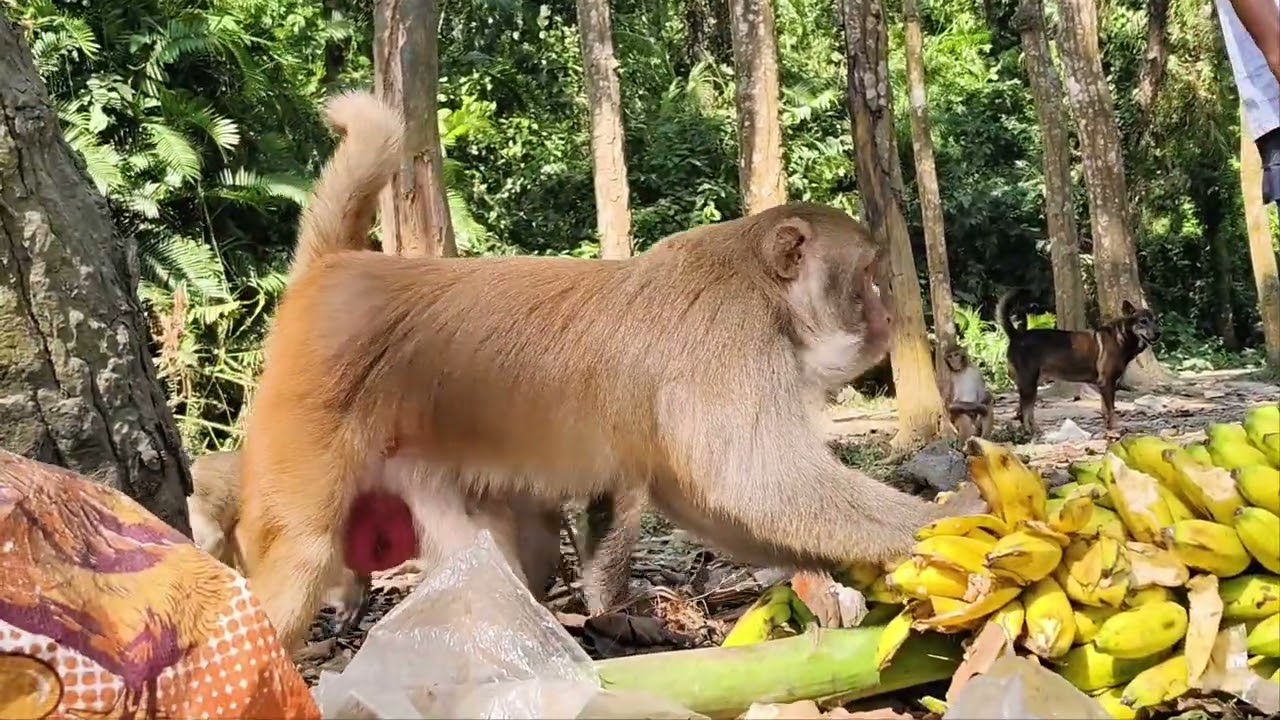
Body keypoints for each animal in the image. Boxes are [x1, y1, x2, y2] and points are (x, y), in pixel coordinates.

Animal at [234, 91, 989, 652]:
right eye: (865, 275)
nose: (887, 309)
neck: (762, 290)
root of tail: (336, 269)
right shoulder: (728, 342)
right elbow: (752, 478)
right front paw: (959, 517)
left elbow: (709, 498)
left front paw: (822, 581)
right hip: (304, 416)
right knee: (299, 554)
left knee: (489, 552)